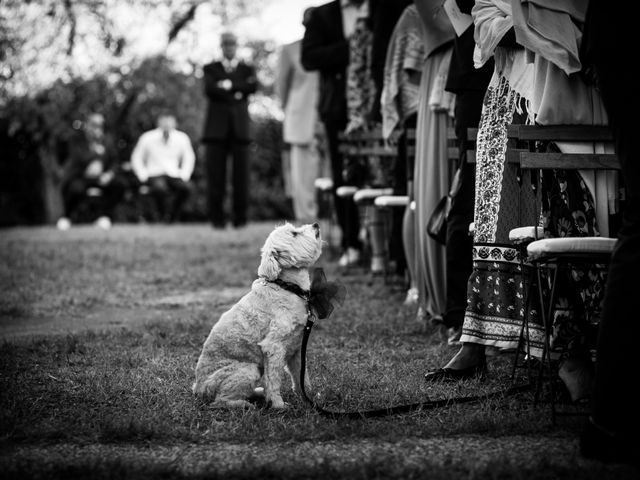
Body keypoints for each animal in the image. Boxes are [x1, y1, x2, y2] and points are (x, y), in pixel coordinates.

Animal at [189, 222, 320, 408]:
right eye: (294, 234)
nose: (316, 224)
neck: (287, 287)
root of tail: (198, 390)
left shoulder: (297, 347)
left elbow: (301, 375)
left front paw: (310, 398)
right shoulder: (273, 347)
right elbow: (274, 380)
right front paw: (279, 405)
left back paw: (257, 394)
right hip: (247, 370)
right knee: (220, 401)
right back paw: (245, 404)